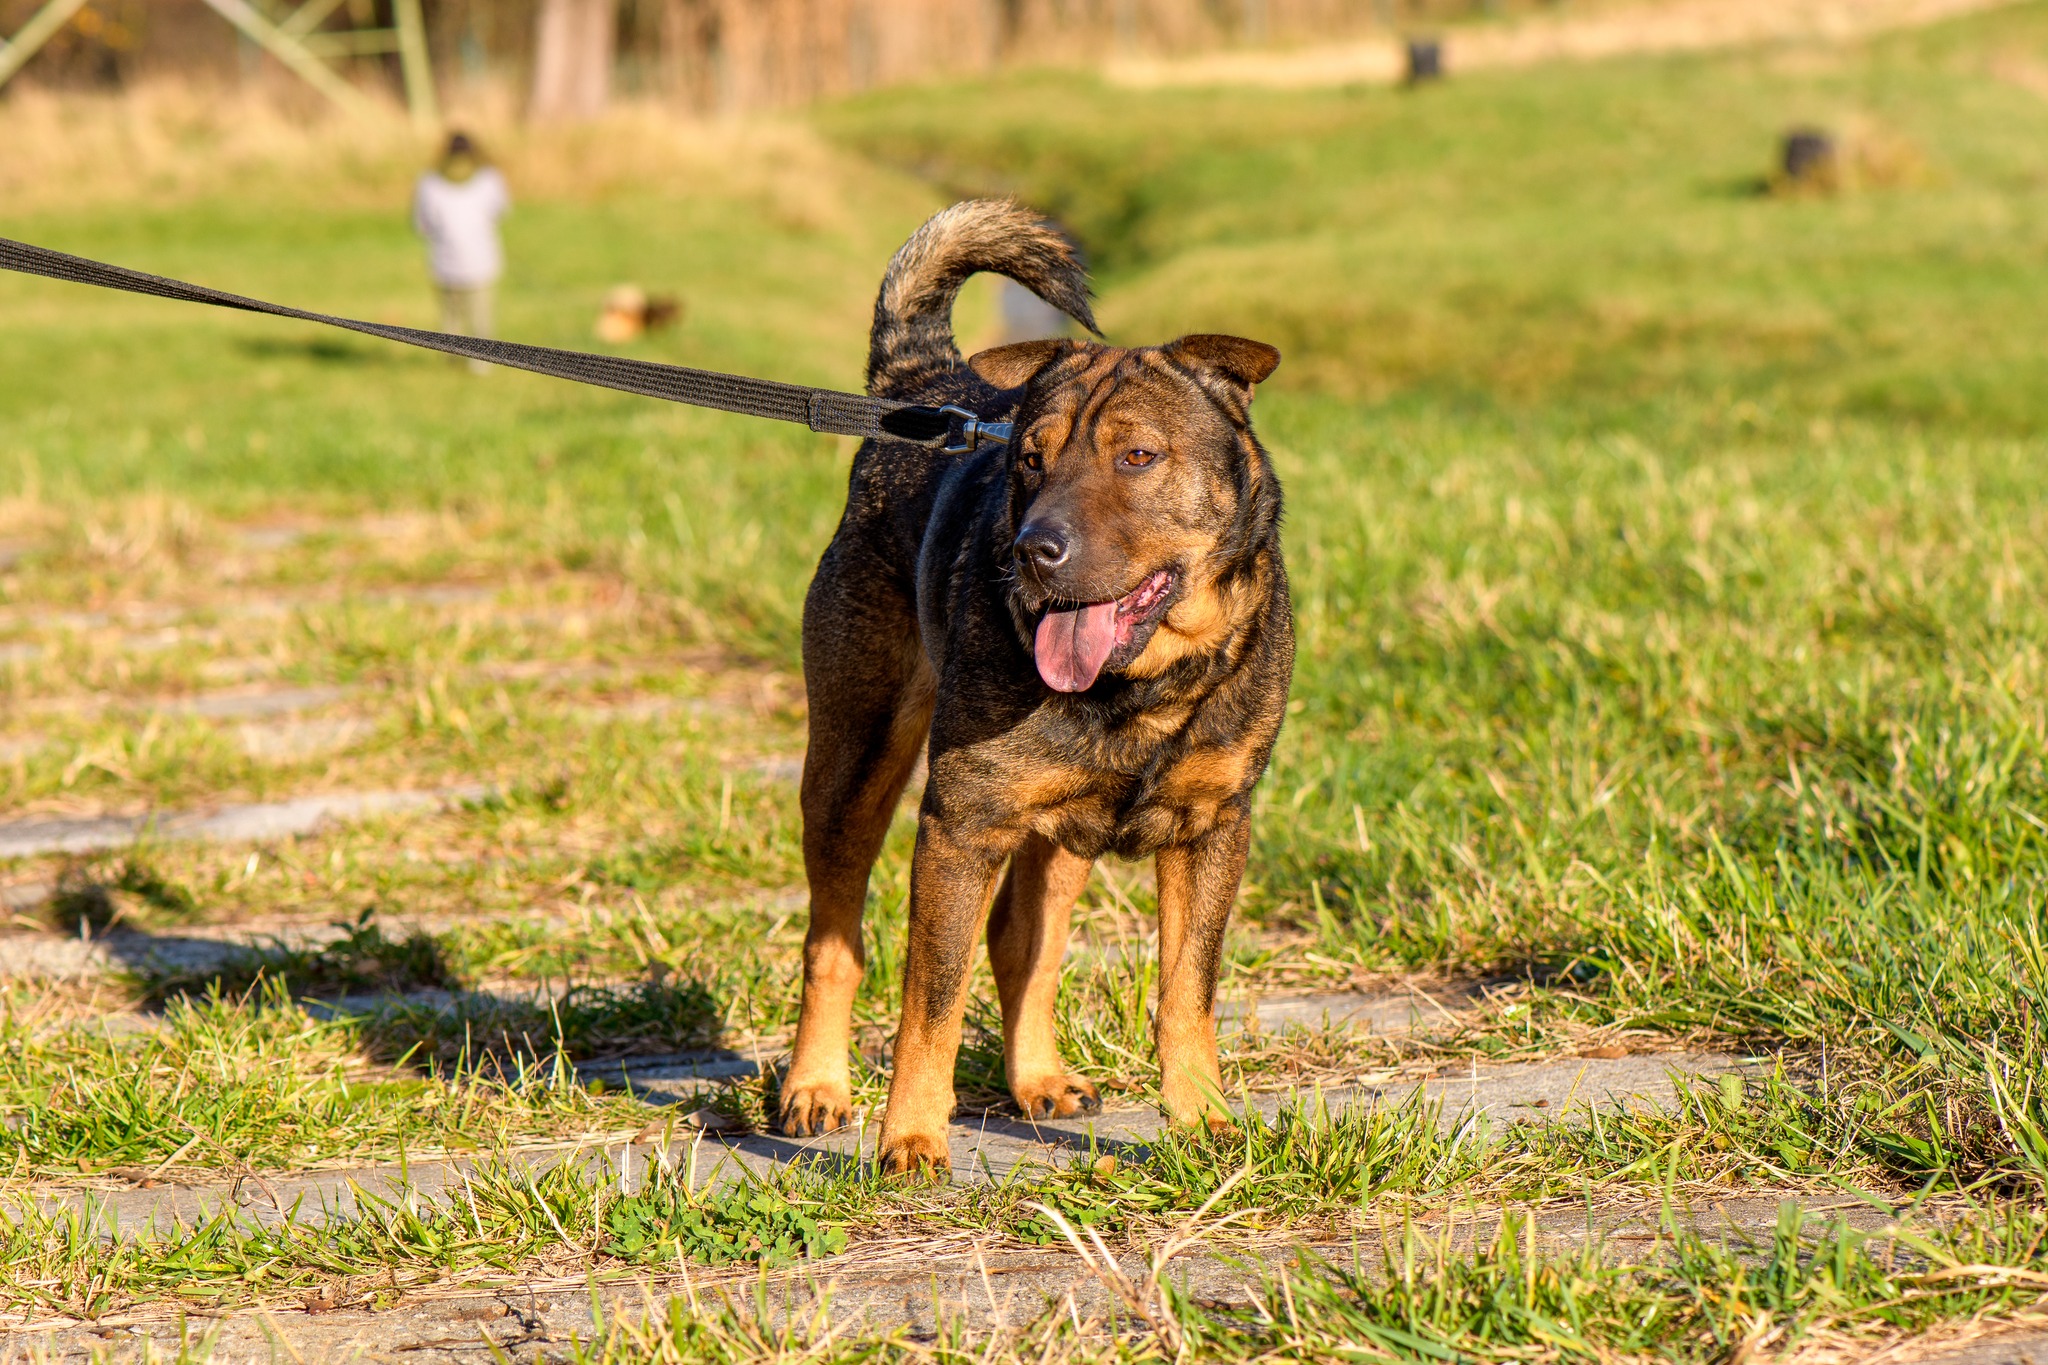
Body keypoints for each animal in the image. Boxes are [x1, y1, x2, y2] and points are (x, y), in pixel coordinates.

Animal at [779, 200, 1294, 1177]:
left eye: (1140, 456)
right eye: (1027, 460)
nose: (1034, 550)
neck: (1137, 688)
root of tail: (927, 380)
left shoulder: (1214, 826)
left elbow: (1187, 987)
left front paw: (1202, 1121)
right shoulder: (961, 824)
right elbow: (930, 1002)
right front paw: (911, 1139)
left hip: (1063, 828)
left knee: (1025, 942)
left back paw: (1039, 1080)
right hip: (852, 762)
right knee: (835, 937)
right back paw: (814, 1087)